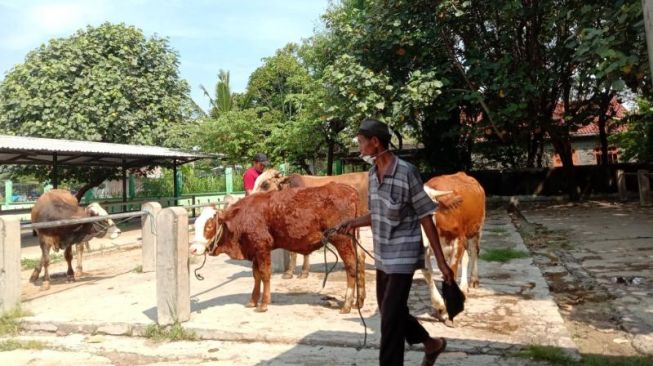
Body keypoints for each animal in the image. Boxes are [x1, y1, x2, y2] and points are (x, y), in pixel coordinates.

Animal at [190, 182, 366, 314]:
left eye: (209, 225)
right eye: (196, 224)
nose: (193, 249)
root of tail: (349, 190)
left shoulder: (262, 246)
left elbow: (265, 274)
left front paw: (263, 304)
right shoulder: (254, 249)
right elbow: (256, 275)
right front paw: (253, 301)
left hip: (341, 239)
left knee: (351, 265)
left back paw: (347, 304)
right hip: (353, 238)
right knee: (360, 259)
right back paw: (359, 301)